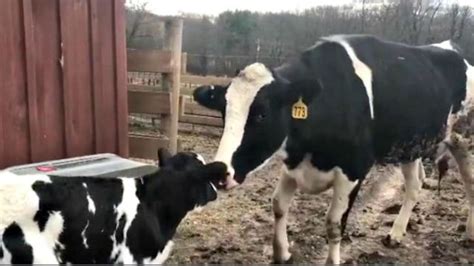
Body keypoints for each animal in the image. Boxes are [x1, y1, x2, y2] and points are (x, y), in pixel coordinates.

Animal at [193, 34, 474, 264]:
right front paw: (282, 253)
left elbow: (334, 223)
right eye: (223, 112)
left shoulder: (354, 169)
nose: (218, 171)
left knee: (470, 185)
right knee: (414, 186)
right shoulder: (293, 164)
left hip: (464, 142)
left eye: (262, 114)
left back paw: (469, 234)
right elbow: (278, 205)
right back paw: (395, 233)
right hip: (411, 146)